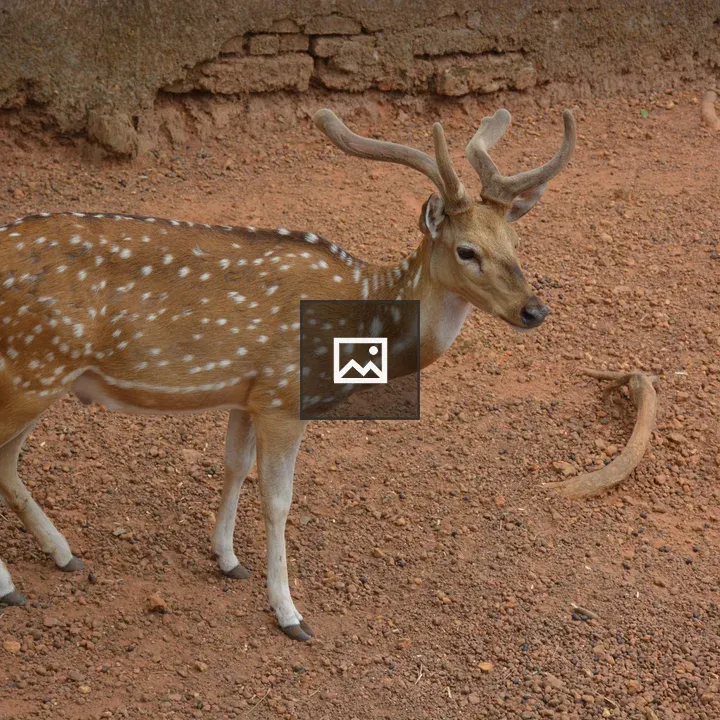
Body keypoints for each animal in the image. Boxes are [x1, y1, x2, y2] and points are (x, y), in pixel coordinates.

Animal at [0, 106, 575, 641]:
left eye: (515, 245)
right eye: (466, 250)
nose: (534, 310)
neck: (359, 320)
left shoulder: (247, 393)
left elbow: (233, 466)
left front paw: (228, 559)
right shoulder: (284, 394)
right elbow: (277, 501)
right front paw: (289, 612)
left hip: (37, 377)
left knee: (8, 463)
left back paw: (62, 553)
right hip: (32, 368)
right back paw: (12, 585)